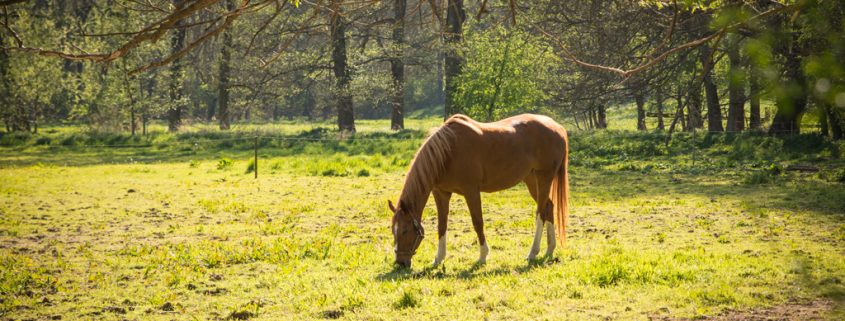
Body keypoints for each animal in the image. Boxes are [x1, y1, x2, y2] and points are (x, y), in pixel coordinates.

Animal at [390, 114, 568, 266]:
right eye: (393, 231)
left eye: (405, 231)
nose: (400, 263)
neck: (448, 152)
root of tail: (558, 128)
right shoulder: (441, 193)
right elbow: (442, 225)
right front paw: (439, 259)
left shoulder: (471, 191)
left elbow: (478, 222)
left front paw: (483, 256)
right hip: (531, 179)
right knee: (549, 207)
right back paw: (549, 249)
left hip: (544, 177)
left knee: (541, 213)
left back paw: (532, 253)